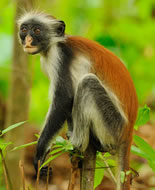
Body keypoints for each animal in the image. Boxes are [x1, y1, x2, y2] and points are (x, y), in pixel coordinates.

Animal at [17, 11, 137, 189]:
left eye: (37, 30)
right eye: (24, 29)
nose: (28, 40)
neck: (55, 43)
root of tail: (128, 132)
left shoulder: (59, 56)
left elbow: (64, 100)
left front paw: (40, 153)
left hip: (114, 125)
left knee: (87, 83)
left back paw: (77, 143)